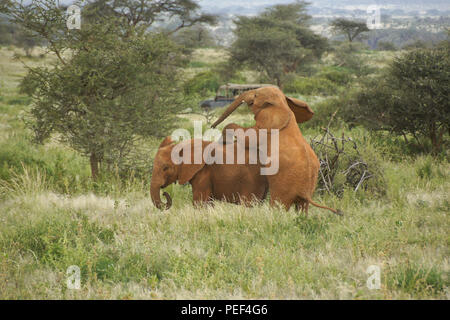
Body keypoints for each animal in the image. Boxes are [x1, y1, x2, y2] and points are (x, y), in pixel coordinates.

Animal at [211, 86, 342, 216]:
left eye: (256, 95)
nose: (212, 126)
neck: (281, 103)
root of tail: (305, 191)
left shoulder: (266, 122)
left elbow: (249, 137)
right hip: (311, 184)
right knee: (302, 207)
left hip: (285, 186)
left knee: (279, 206)